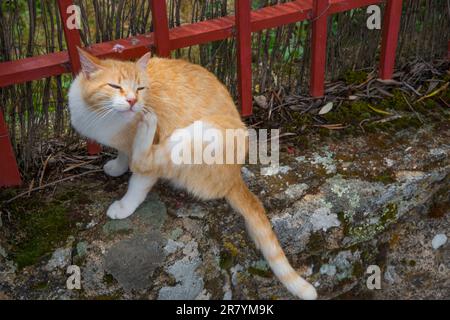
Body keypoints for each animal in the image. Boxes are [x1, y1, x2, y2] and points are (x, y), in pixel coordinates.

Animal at [68, 48, 318, 300]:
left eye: (140, 88)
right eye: (114, 86)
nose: (132, 101)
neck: (100, 115)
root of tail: (235, 178)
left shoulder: (154, 151)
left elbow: (138, 183)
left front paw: (124, 205)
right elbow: (122, 154)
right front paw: (117, 166)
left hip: (194, 135)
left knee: (145, 160)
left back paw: (147, 127)